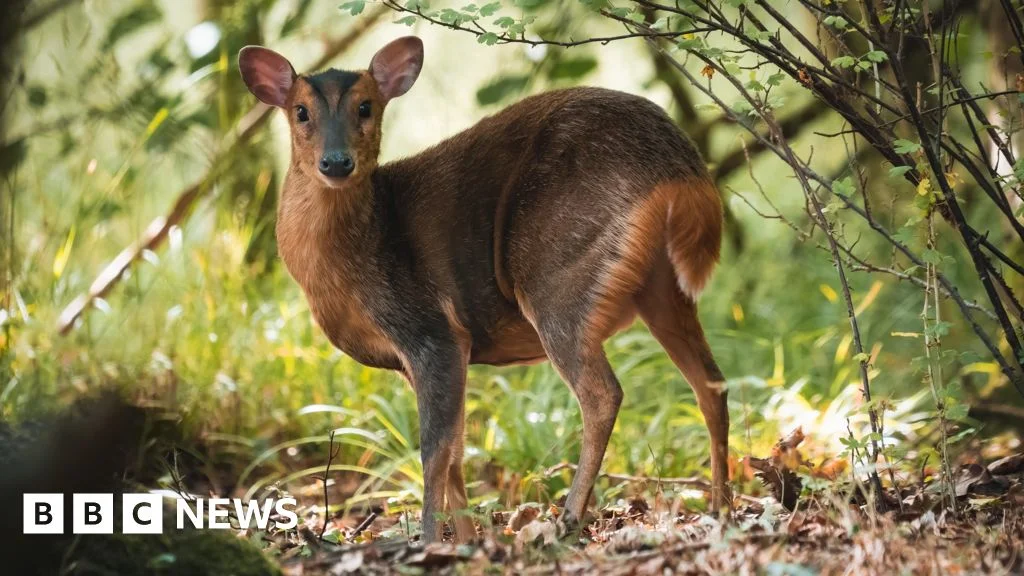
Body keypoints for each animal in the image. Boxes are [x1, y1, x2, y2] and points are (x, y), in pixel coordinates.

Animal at [238, 36, 729, 544]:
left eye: (365, 106)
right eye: (300, 111)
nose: (336, 162)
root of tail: (681, 167)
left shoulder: (430, 329)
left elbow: (434, 449)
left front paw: (432, 541)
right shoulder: (433, 352)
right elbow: (457, 448)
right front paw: (471, 540)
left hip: (557, 271)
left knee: (603, 393)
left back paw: (568, 520)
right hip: (662, 287)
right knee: (712, 384)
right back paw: (721, 510)